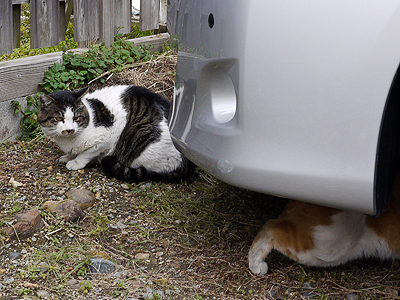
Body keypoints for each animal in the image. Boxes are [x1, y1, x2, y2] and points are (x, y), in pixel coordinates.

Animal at [38, 85, 195, 183]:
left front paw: (76, 162)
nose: (69, 129)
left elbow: (86, 153)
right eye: (59, 119)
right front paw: (68, 156)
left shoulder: (104, 139)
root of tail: (188, 164)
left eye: (76, 118)